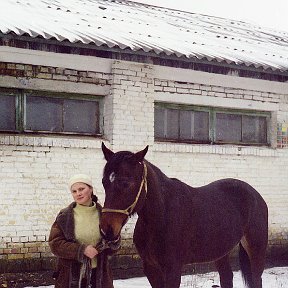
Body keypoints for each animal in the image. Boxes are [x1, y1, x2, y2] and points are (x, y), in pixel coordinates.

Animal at [100, 143, 268, 288]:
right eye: (104, 182)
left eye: (125, 183)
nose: (107, 230)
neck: (162, 215)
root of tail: (255, 195)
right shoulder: (151, 268)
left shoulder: (173, 270)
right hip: (221, 252)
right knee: (227, 277)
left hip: (256, 250)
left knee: (256, 279)